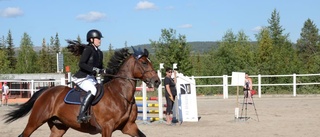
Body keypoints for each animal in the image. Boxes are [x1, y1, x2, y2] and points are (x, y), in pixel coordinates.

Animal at [3, 46, 160, 136]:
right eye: (144, 63)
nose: (157, 81)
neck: (121, 95)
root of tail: (47, 91)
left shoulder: (129, 126)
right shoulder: (107, 127)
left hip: (59, 126)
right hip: (35, 121)